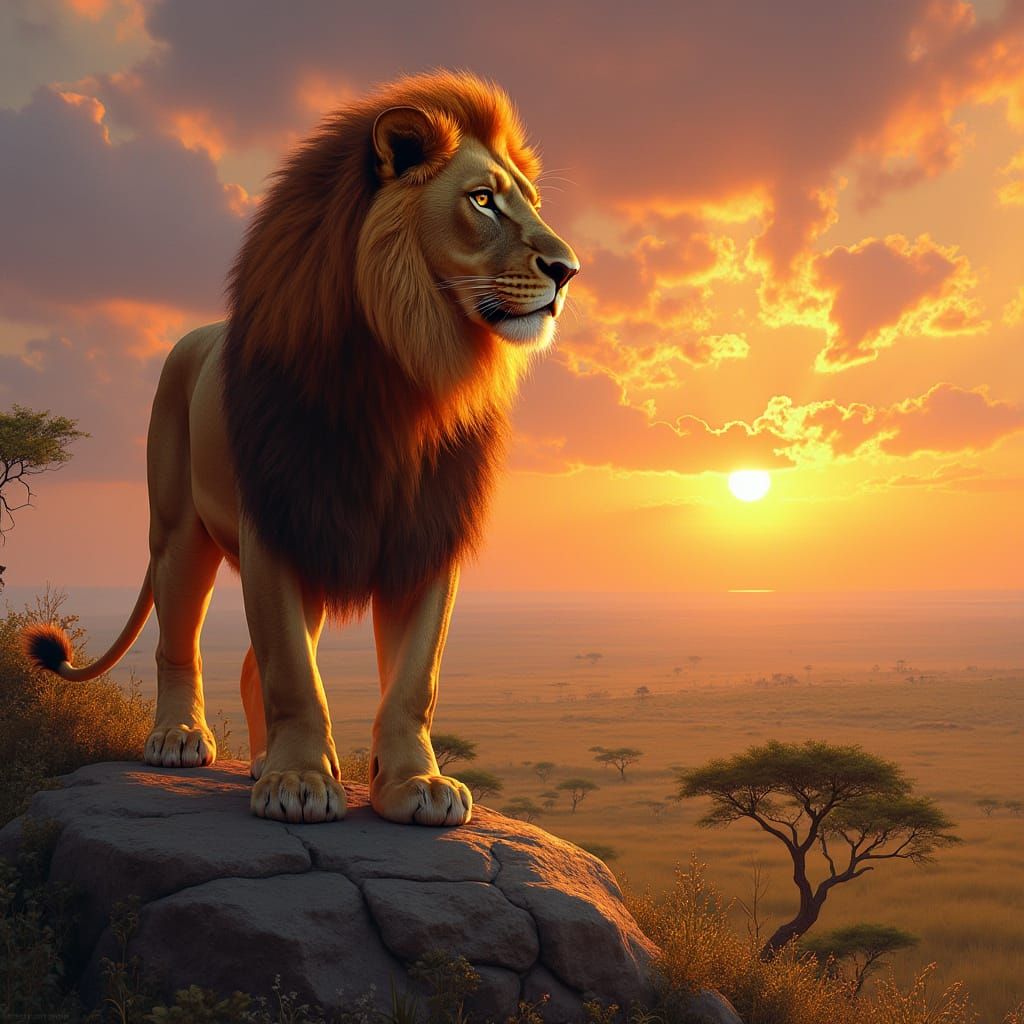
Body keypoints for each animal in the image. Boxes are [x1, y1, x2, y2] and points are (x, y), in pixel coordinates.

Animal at [23, 71, 579, 826]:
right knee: (179, 642)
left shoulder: (426, 531)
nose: (568, 269)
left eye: (530, 202)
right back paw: (178, 739)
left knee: (248, 664)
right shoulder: (278, 518)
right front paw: (297, 782)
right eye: (483, 199)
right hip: (179, 531)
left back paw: (258, 758)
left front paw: (417, 785)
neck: (407, 372)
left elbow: (414, 679)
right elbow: (291, 668)